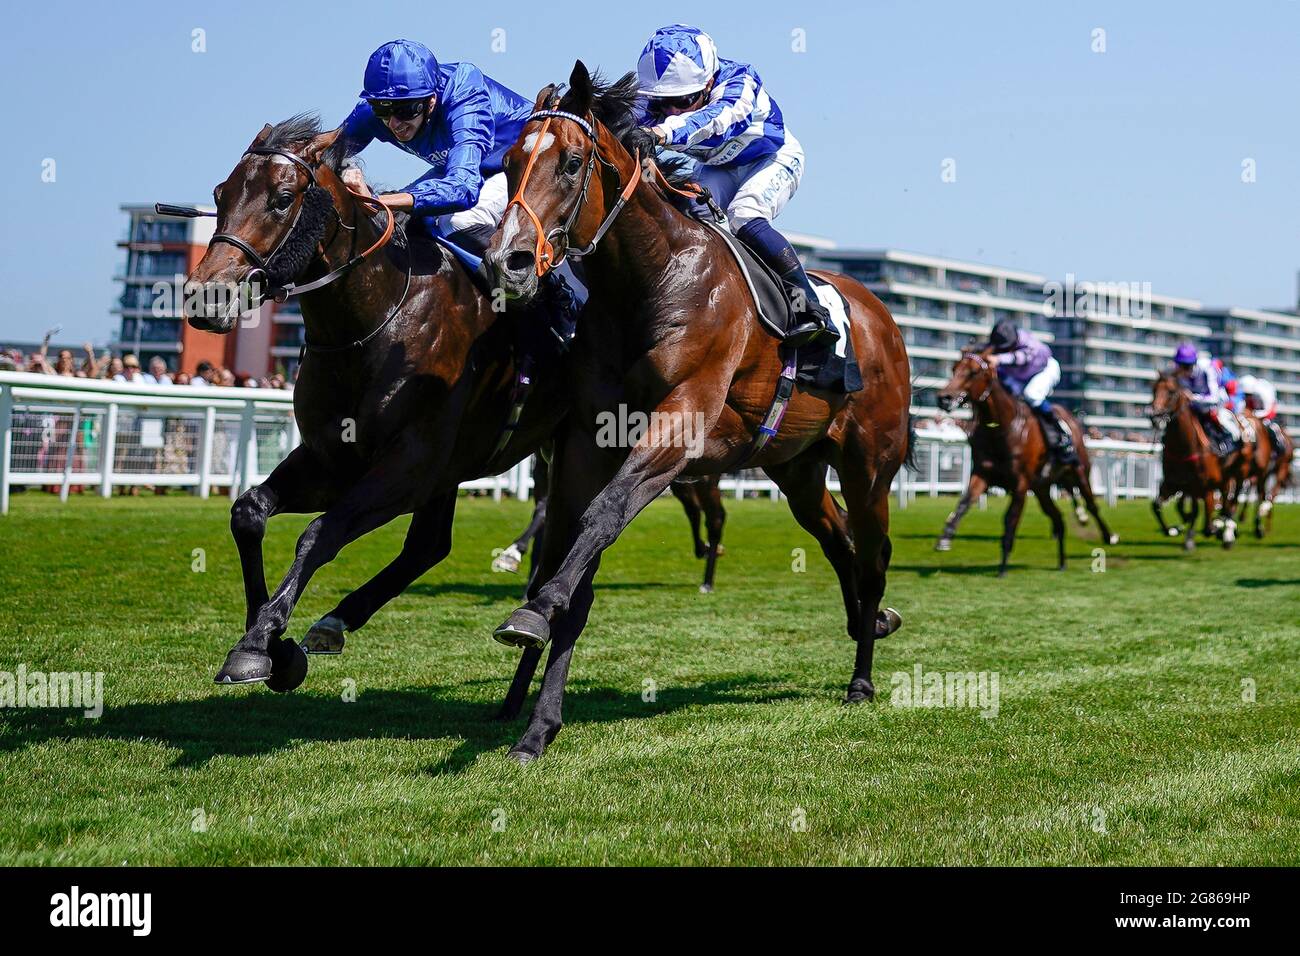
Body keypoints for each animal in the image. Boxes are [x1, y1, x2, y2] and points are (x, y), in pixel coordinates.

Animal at [180, 115, 566, 691]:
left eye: (282, 199)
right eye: (219, 194)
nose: (208, 297)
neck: (376, 319)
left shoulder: (409, 464)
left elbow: (321, 533)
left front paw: (260, 643)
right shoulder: (334, 457)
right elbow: (248, 512)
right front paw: (273, 647)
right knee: (430, 545)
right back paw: (339, 619)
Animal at [480, 63, 915, 764]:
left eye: (571, 163)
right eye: (512, 160)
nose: (508, 261)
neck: (654, 280)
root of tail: (881, 316)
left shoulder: (678, 424)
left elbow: (599, 521)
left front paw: (532, 617)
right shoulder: (588, 441)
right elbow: (571, 556)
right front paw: (535, 719)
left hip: (869, 466)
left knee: (872, 554)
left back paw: (862, 678)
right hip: (797, 471)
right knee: (839, 541)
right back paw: (864, 622)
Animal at [935, 351, 1118, 574]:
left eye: (973, 372)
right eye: (954, 369)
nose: (944, 398)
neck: (1002, 428)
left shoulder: (1020, 483)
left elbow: (1010, 518)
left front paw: (1003, 565)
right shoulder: (982, 474)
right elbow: (964, 502)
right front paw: (945, 537)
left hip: (1079, 472)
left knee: (1091, 505)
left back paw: (1109, 536)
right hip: (1042, 488)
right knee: (1057, 517)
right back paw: (1062, 562)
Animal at [1154, 374, 1263, 554]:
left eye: (1171, 391)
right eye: (1153, 389)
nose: (1155, 416)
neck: (1182, 447)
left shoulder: (1199, 483)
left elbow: (1197, 509)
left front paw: (1192, 537)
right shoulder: (1172, 482)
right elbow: (1156, 505)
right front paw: (1171, 530)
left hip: (1239, 474)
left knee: (1232, 502)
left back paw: (1227, 534)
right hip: (1223, 479)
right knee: (1224, 501)